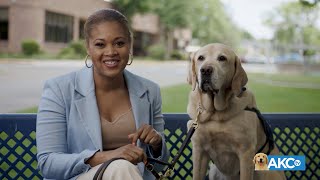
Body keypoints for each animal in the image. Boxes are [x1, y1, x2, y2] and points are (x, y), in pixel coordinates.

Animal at [186, 43, 286, 180]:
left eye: (222, 58)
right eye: (200, 58)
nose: (205, 70)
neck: (215, 114)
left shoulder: (246, 152)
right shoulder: (199, 150)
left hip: (261, 171)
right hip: (214, 170)